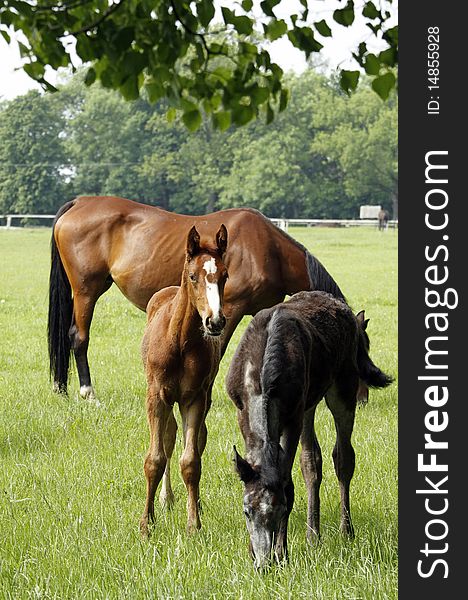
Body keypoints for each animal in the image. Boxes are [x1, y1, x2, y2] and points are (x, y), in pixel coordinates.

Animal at [46, 196, 344, 398]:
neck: (268, 250)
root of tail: (80, 202)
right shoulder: (229, 310)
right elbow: (218, 351)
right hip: (86, 290)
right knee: (78, 337)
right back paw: (88, 393)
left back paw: (61, 388)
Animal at [141, 224, 229, 536]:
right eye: (193, 276)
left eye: (225, 275)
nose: (215, 322)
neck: (179, 341)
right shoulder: (157, 396)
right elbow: (155, 458)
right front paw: (146, 524)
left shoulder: (194, 398)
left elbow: (191, 460)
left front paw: (193, 524)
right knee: (168, 438)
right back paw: (166, 498)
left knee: (197, 438)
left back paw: (196, 504)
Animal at [226, 292, 392, 568]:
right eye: (246, 511)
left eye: (281, 509)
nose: (263, 563)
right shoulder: (242, 413)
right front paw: (252, 552)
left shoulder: (293, 417)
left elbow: (288, 484)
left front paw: (282, 553)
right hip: (309, 404)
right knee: (312, 461)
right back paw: (313, 535)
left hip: (342, 389)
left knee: (343, 457)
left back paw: (346, 531)